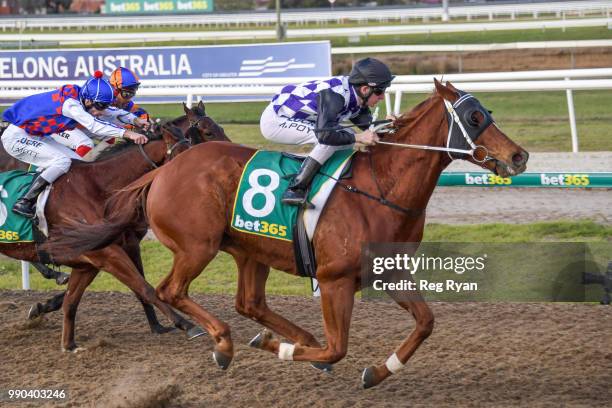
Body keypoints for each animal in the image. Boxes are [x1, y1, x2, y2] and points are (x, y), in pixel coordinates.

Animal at [45, 81, 528, 388]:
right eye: (474, 116)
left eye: (487, 112)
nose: (519, 156)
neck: (381, 188)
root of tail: (163, 170)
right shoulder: (334, 280)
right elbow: (337, 348)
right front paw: (283, 351)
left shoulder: (388, 271)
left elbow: (426, 323)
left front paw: (379, 371)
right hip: (198, 246)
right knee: (169, 290)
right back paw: (224, 343)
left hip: (248, 249)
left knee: (249, 303)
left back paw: (280, 337)